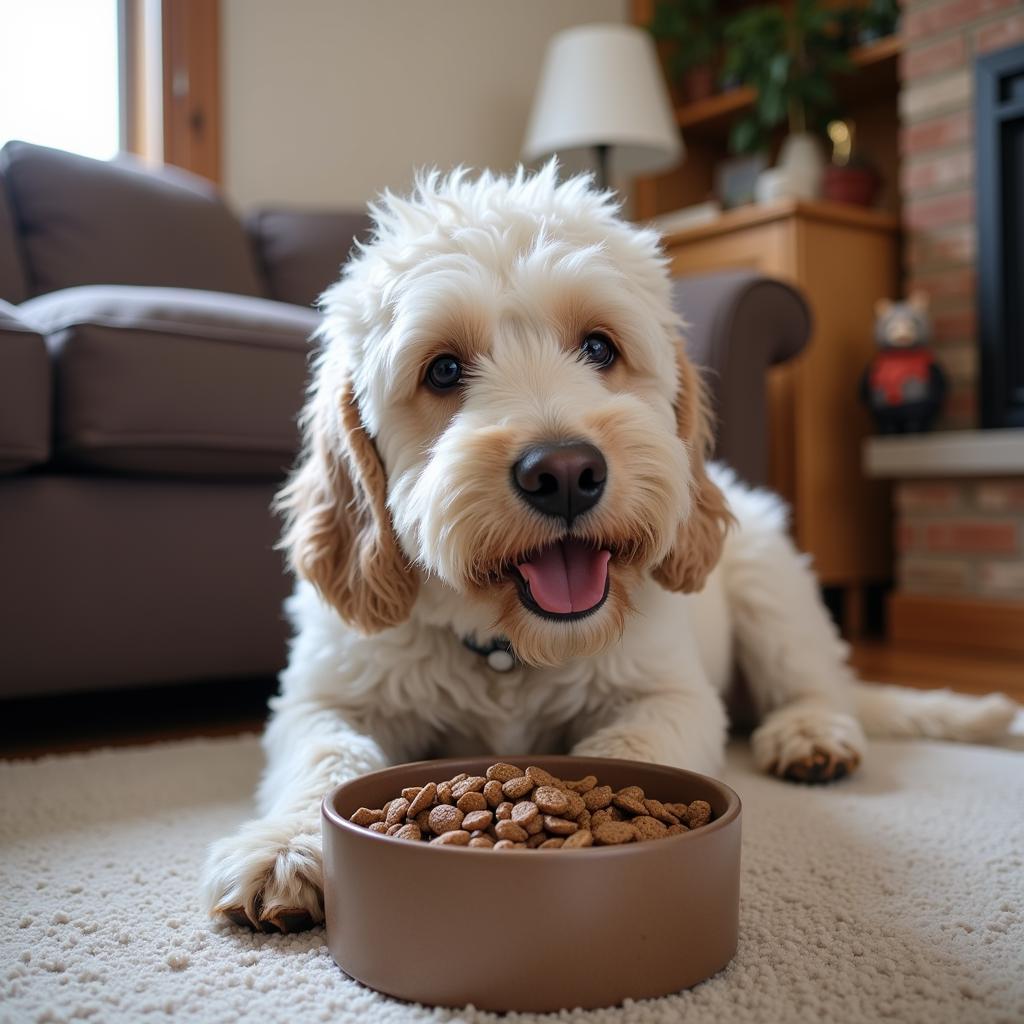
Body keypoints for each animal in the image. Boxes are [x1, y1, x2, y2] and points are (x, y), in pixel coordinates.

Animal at [199, 161, 1015, 937]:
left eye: (599, 346)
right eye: (443, 369)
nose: (564, 473)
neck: (509, 651)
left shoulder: (671, 694)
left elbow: (629, 748)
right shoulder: (326, 699)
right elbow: (326, 755)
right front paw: (286, 845)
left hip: (768, 577)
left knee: (819, 683)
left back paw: (810, 731)